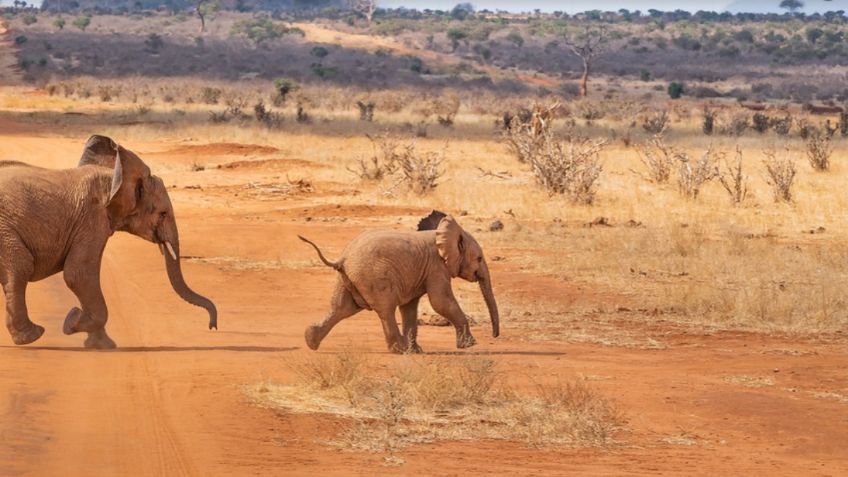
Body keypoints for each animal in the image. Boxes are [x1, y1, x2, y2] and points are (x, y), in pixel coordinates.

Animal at [0, 136, 217, 348]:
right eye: (163, 214)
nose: (212, 326)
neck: (114, 178)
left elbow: (81, 276)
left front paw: (101, 344)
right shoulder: (91, 219)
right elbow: (78, 274)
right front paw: (72, 322)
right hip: (5, 231)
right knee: (21, 266)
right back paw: (32, 336)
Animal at [300, 210, 500, 352]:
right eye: (479, 258)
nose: (495, 336)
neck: (442, 233)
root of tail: (343, 259)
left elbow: (410, 307)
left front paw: (416, 351)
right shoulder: (437, 267)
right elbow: (441, 302)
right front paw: (471, 345)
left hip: (348, 279)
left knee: (341, 308)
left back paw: (311, 341)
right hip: (373, 277)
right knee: (385, 310)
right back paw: (399, 350)